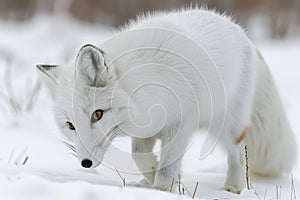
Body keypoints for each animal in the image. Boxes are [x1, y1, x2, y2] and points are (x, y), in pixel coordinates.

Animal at [37, 8, 296, 193]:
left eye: (97, 114)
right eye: (70, 125)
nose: (85, 163)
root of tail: (244, 35)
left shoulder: (181, 121)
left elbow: (169, 163)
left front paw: (161, 189)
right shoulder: (147, 128)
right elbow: (140, 156)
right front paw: (151, 180)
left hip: (225, 126)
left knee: (238, 153)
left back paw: (233, 187)